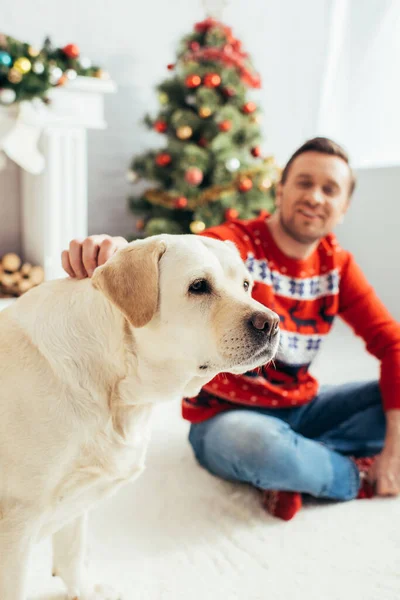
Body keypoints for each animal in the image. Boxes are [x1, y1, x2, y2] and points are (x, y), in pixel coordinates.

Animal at [0, 234, 280, 600]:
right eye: (198, 286)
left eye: (247, 285)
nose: (272, 323)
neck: (117, 391)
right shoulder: (16, 522)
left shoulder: (77, 496)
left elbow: (71, 553)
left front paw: (84, 591)